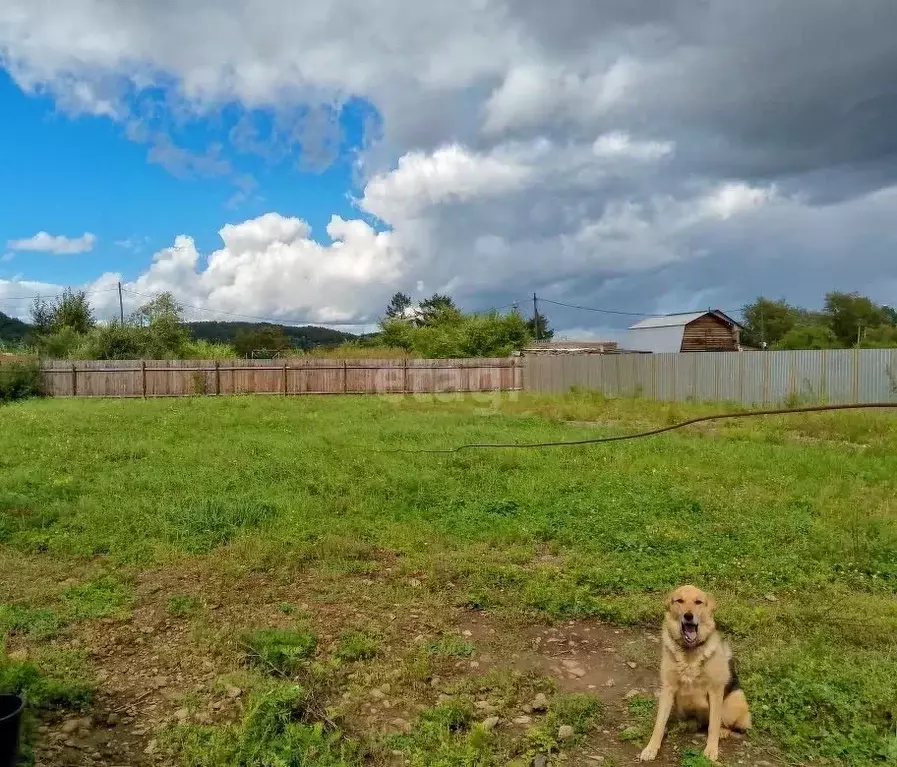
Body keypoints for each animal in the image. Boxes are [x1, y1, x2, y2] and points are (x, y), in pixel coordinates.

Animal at [636, 588, 748, 760]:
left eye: (698, 602)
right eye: (679, 601)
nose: (688, 616)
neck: (689, 652)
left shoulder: (715, 690)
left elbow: (714, 725)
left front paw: (711, 749)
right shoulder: (668, 688)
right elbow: (659, 724)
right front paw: (651, 748)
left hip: (734, 700)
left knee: (725, 723)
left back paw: (723, 731)